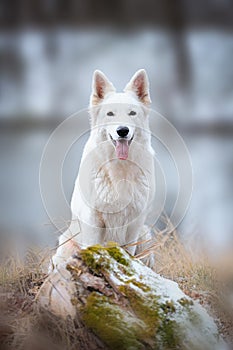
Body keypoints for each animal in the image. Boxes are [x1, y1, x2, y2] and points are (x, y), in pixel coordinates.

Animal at [52, 69, 156, 270]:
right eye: (110, 114)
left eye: (132, 113)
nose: (122, 131)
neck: (119, 170)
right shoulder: (93, 220)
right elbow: (94, 247)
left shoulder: (134, 223)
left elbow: (128, 252)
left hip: (145, 235)